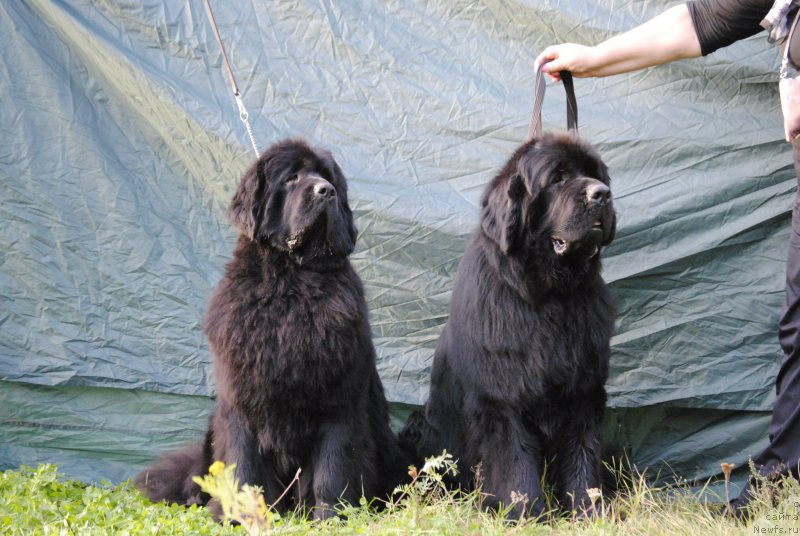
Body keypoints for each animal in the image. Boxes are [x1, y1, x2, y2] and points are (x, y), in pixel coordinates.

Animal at [136, 138, 406, 520]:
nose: (326, 191)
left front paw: (330, 516)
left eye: (327, 177)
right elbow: (243, 464)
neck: (289, 282)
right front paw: (240, 517)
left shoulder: (339, 402)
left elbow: (333, 467)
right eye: (292, 178)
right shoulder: (241, 399)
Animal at [400, 132, 620, 516]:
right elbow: (515, 462)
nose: (602, 194)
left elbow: (583, 453)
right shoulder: (501, 398)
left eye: (596, 175)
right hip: (420, 429)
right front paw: (523, 513)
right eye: (558, 177)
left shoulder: (584, 390)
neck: (549, 297)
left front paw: (588, 510)